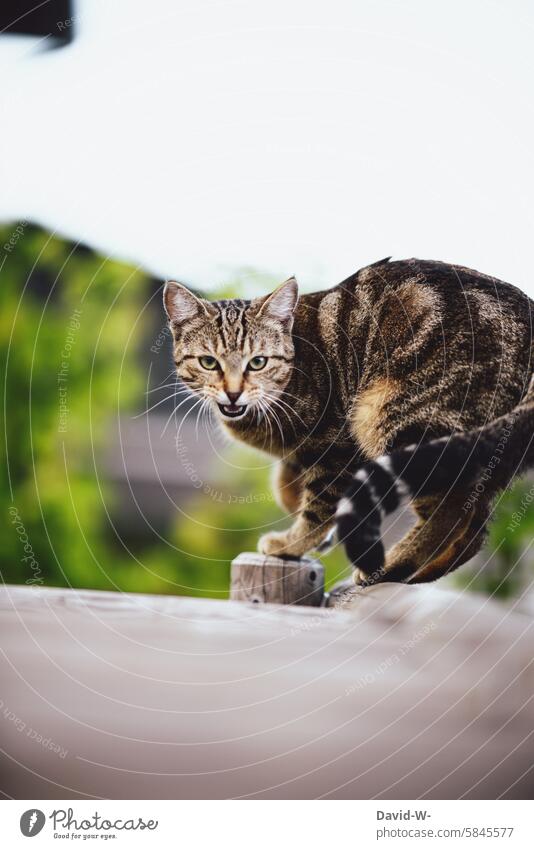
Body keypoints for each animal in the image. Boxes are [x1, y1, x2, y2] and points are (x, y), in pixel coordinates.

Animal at [164, 258, 534, 588]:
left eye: (258, 362)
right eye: (208, 362)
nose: (233, 393)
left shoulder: (335, 449)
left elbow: (317, 509)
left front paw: (289, 545)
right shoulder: (302, 455)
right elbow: (286, 486)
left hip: (394, 420)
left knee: (452, 511)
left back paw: (392, 566)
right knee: (477, 524)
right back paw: (423, 572)